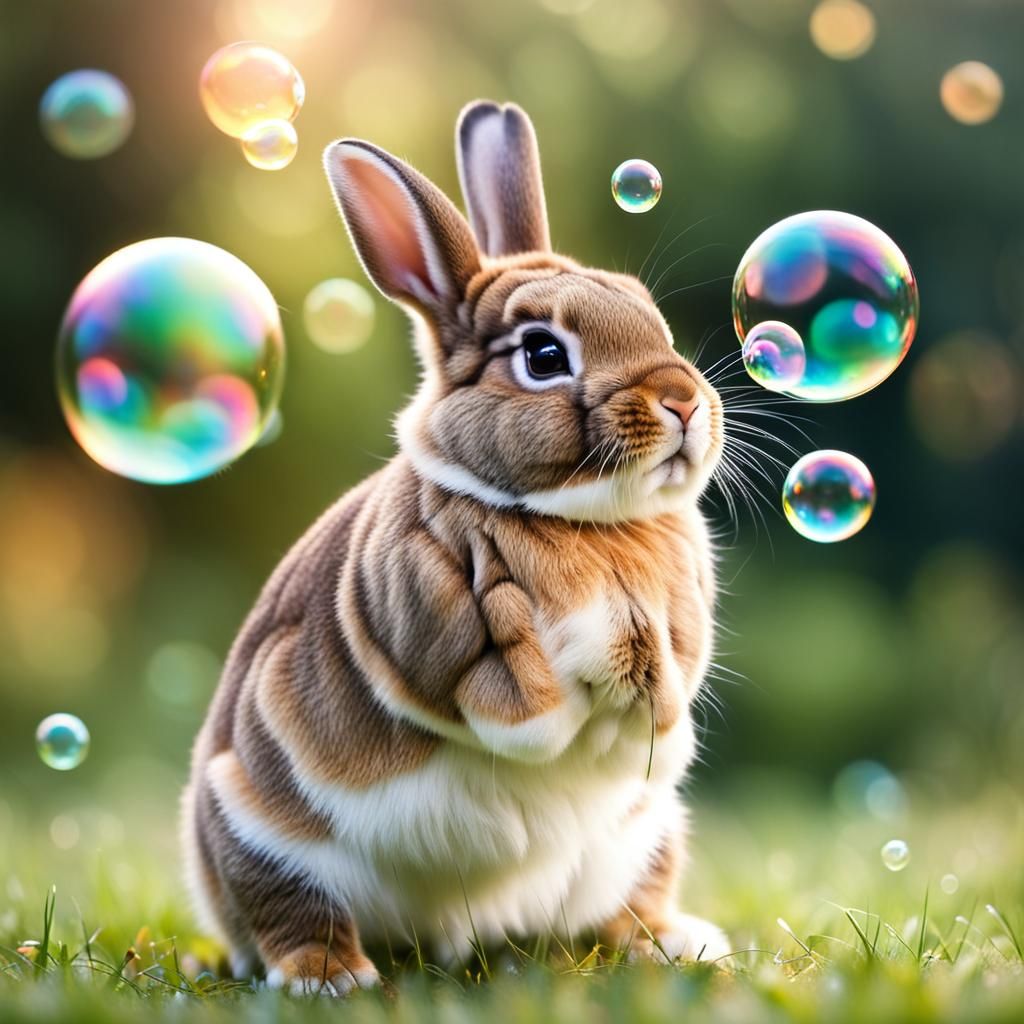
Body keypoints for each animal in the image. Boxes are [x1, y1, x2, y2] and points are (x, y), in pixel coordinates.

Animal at [182, 99, 729, 996]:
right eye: (543, 354)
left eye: (656, 322)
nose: (683, 399)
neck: (581, 518)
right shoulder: (422, 607)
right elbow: (501, 685)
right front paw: (557, 710)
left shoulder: (680, 620)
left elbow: (668, 682)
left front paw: (652, 714)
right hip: (258, 821)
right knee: (291, 910)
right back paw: (331, 976)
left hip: (646, 838)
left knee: (627, 905)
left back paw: (677, 940)